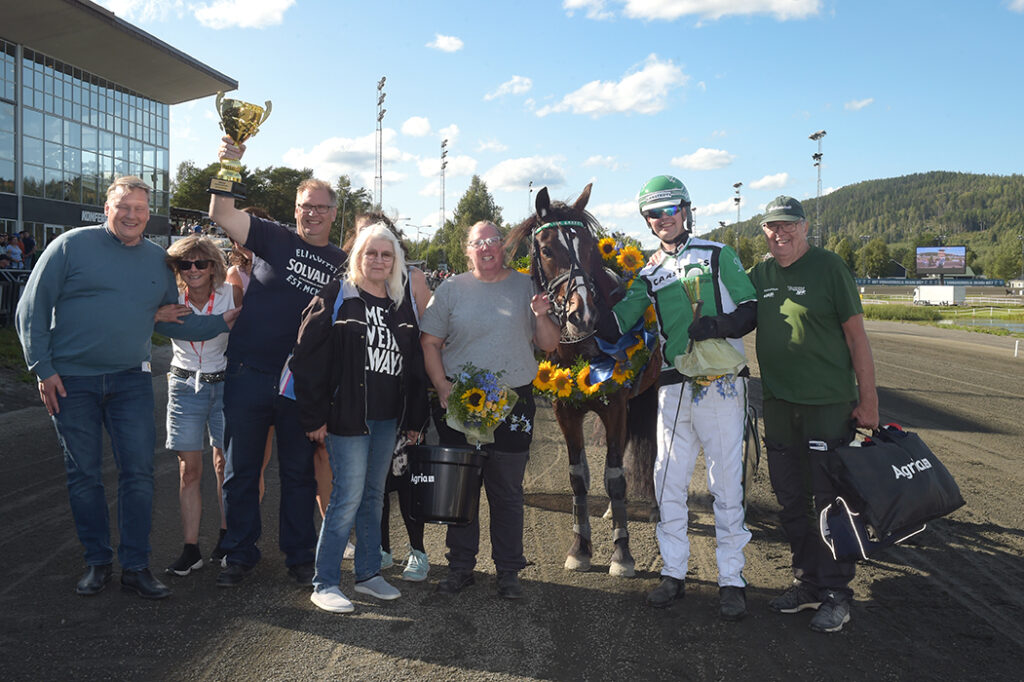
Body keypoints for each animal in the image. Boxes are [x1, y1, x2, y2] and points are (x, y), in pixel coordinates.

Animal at [507, 184, 659, 573]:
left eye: (591, 247)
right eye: (546, 249)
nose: (582, 315)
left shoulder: (616, 406)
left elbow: (615, 476)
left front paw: (622, 553)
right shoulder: (567, 410)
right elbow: (579, 477)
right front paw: (580, 548)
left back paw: (654, 507)